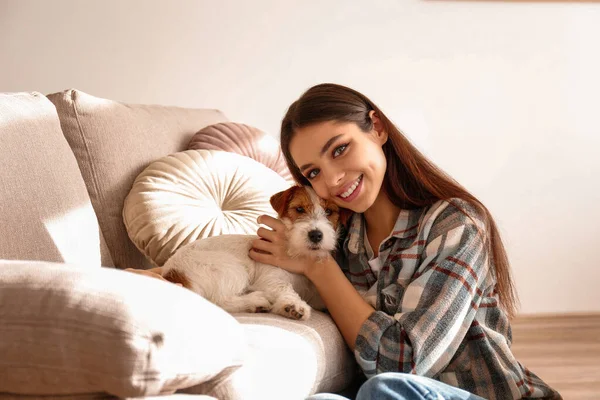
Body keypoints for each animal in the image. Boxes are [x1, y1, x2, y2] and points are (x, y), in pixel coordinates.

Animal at [162, 186, 354, 320]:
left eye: (329, 211)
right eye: (299, 209)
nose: (315, 235)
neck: (298, 254)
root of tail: (172, 273)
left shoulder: (316, 295)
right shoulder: (272, 278)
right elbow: (284, 287)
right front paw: (292, 305)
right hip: (232, 268)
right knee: (219, 301)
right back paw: (257, 301)